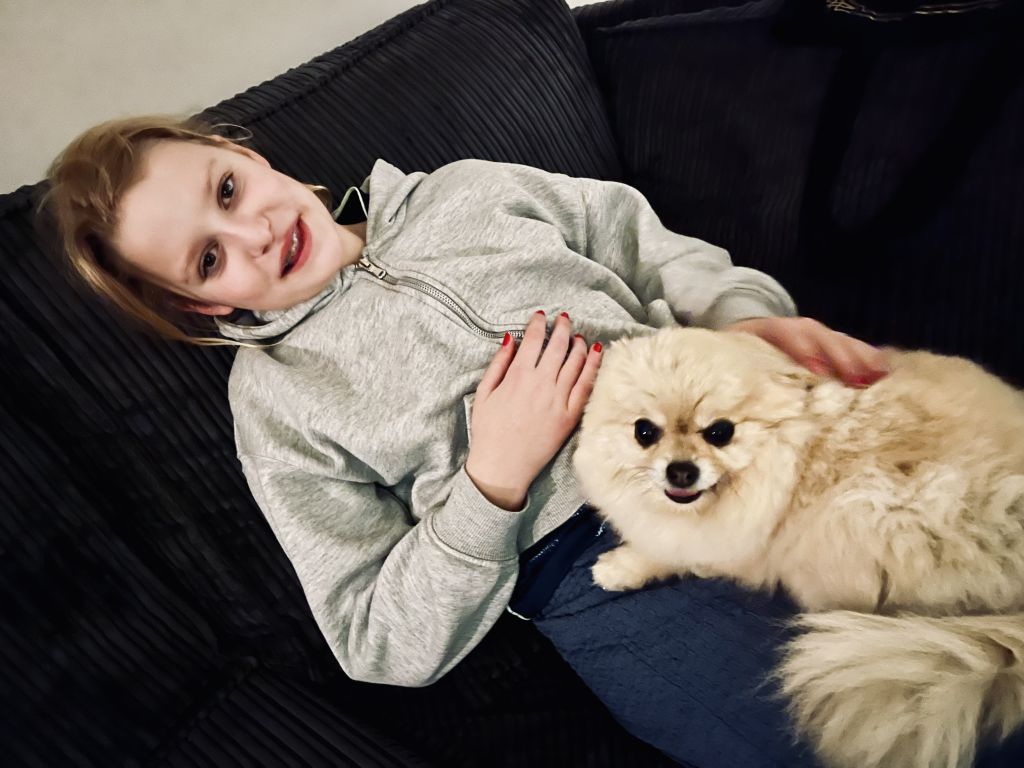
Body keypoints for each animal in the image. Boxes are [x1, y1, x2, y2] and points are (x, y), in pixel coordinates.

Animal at [573, 326, 1024, 768]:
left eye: (720, 432)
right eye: (644, 432)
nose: (681, 471)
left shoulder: (734, 544)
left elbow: (666, 553)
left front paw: (619, 568)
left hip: (859, 512)